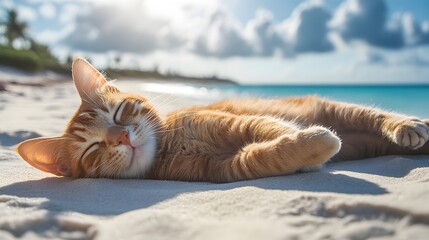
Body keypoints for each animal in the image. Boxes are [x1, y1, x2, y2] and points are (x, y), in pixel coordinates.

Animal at [16, 57, 428, 182]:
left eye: (118, 113)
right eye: (92, 149)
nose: (121, 138)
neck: (170, 144)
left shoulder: (235, 123)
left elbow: (273, 128)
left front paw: (312, 140)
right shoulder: (226, 168)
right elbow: (267, 155)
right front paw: (312, 149)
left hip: (335, 108)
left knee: (377, 116)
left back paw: (408, 126)